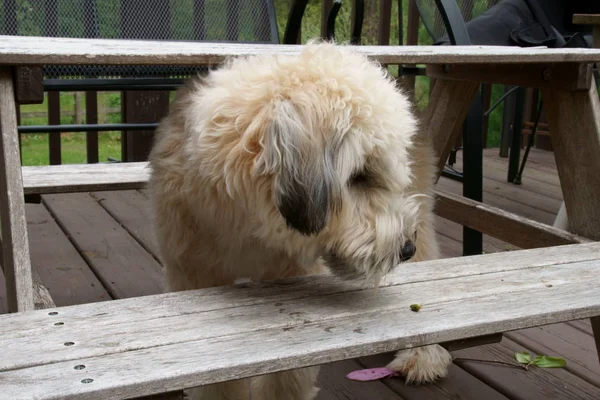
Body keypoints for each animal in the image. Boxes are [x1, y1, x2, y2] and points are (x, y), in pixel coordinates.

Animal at [148, 40, 452, 400]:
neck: (246, 228)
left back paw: (423, 356)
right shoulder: (192, 271)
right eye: (360, 175)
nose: (406, 248)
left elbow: (286, 381)